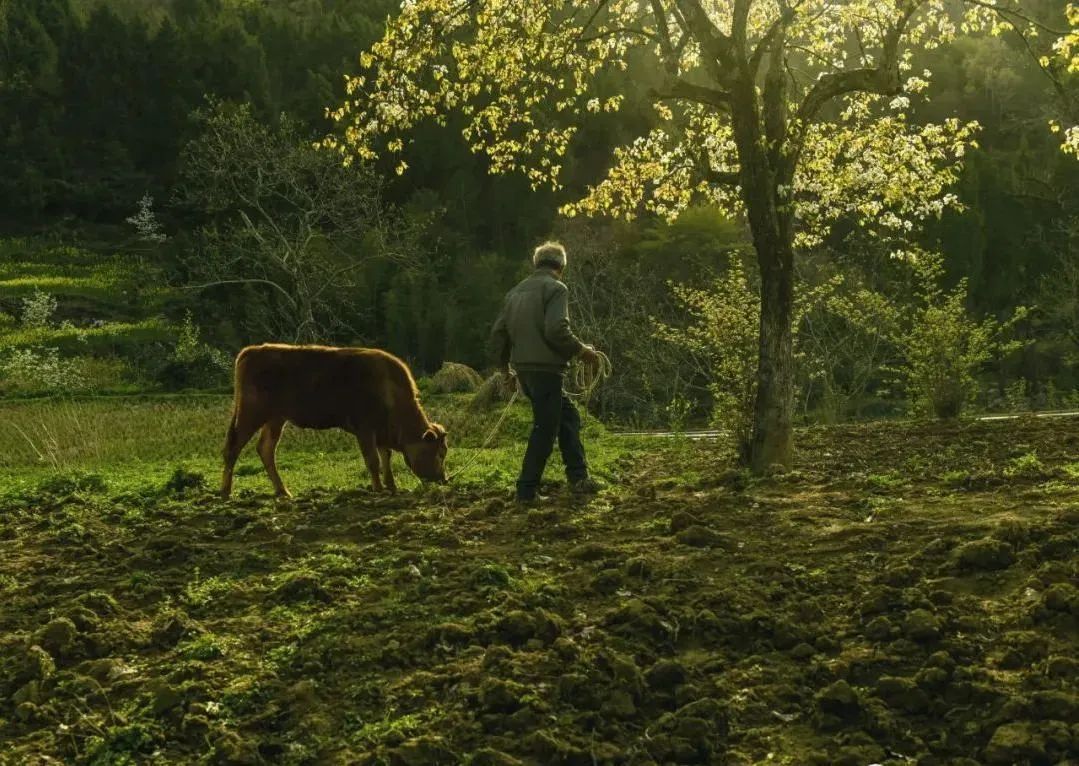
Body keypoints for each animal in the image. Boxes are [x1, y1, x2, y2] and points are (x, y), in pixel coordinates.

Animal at [221, 347, 448, 500]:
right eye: (439, 453)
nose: (443, 479)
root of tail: (251, 351)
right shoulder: (365, 430)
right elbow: (373, 460)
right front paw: (379, 489)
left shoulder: (381, 433)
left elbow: (386, 458)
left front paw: (392, 487)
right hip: (251, 415)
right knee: (233, 448)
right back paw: (225, 492)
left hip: (276, 419)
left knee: (266, 449)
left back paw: (283, 491)